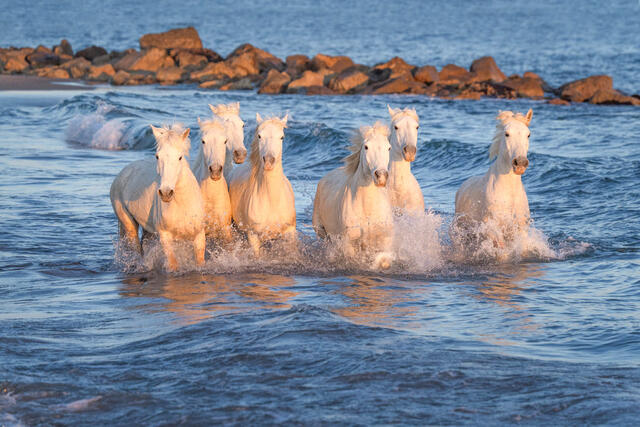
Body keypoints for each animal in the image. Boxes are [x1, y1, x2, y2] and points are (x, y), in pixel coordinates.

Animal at [110, 124, 205, 271]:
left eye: (180, 157)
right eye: (157, 156)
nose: (166, 193)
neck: (182, 204)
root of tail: (122, 174)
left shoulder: (199, 235)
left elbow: (200, 262)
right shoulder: (165, 237)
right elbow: (173, 264)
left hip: (148, 230)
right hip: (129, 225)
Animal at [228, 113, 296, 256]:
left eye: (282, 137)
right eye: (259, 136)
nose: (269, 161)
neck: (272, 201)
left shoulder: (290, 231)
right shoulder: (253, 235)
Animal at [312, 122, 394, 269]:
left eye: (389, 147)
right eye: (366, 147)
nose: (381, 176)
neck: (368, 208)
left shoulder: (385, 239)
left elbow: (384, 260)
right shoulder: (349, 242)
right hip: (322, 232)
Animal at [454, 109, 533, 249]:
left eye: (528, 135)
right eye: (507, 134)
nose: (520, 163)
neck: (510, 193)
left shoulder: (520, 228)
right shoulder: (492, 228)